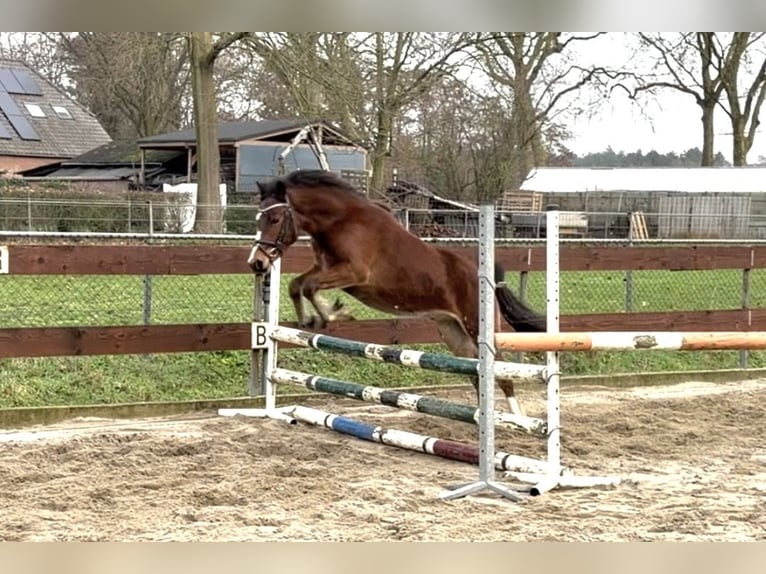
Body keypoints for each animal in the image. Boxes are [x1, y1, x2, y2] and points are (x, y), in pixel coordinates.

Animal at [246, 169, 546, 415]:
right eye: (258, 219)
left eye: (275, 219)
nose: (257, 263)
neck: (341, 221)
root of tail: (486, 276)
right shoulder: (325, 269)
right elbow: (297, 285)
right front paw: (311, 320)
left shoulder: (354, 274)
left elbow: (308, 287)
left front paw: (332, 315)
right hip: (454, 332)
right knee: (477, 375)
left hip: (477, 327)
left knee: (502, 374)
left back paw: (516, 422)